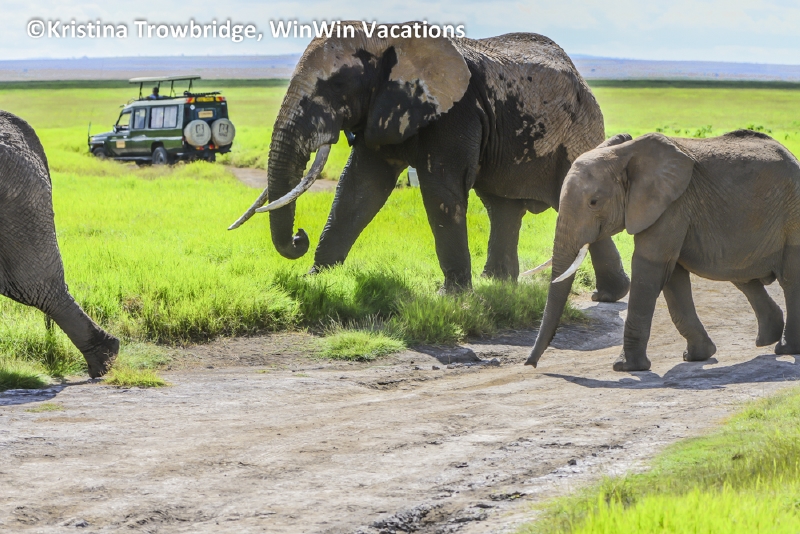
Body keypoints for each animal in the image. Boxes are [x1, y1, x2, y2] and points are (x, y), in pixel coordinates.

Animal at [230, 23, 631, 299]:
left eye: (337, 86)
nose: (299, 236)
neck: (390, 39)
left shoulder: (457, 113)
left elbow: (440, 190)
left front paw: (450, 298)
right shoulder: (385, 110)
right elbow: (359, 188)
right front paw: (316, 279)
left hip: (576, 136)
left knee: (578, 207)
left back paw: (607, 295)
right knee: (502, 208)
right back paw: (501, 285)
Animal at [526, 130, 798, 372]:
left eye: (594, 202)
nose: (530, 364)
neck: (624, 155)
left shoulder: (672, 205)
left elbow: (649, 268)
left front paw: (626, 367)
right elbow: (673, 277)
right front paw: (697, 357)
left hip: (792, 213)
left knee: (788, 279)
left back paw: (786, 348)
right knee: (742, 277)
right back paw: (767, 339)